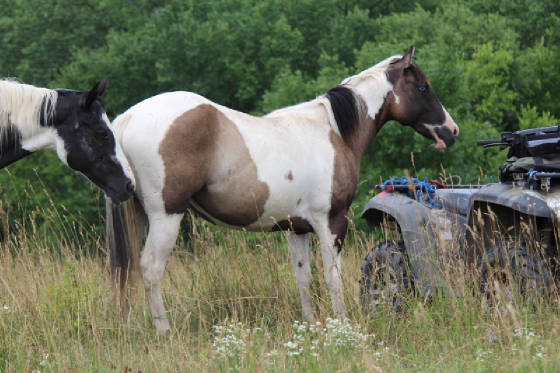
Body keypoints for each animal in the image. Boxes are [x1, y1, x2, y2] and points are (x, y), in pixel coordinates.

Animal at [108, 46, 460, 332]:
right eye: (423, 87)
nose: (452, 131)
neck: (334, 131)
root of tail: (126, 120)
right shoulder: (332, 223)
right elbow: (333, 278)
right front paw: (343, 325)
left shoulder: (297, 229)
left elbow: (304, 278)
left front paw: (310, 326)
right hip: (166, 217)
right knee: (150, 269)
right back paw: (164, 332)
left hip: (137, 218)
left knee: (127, 274)